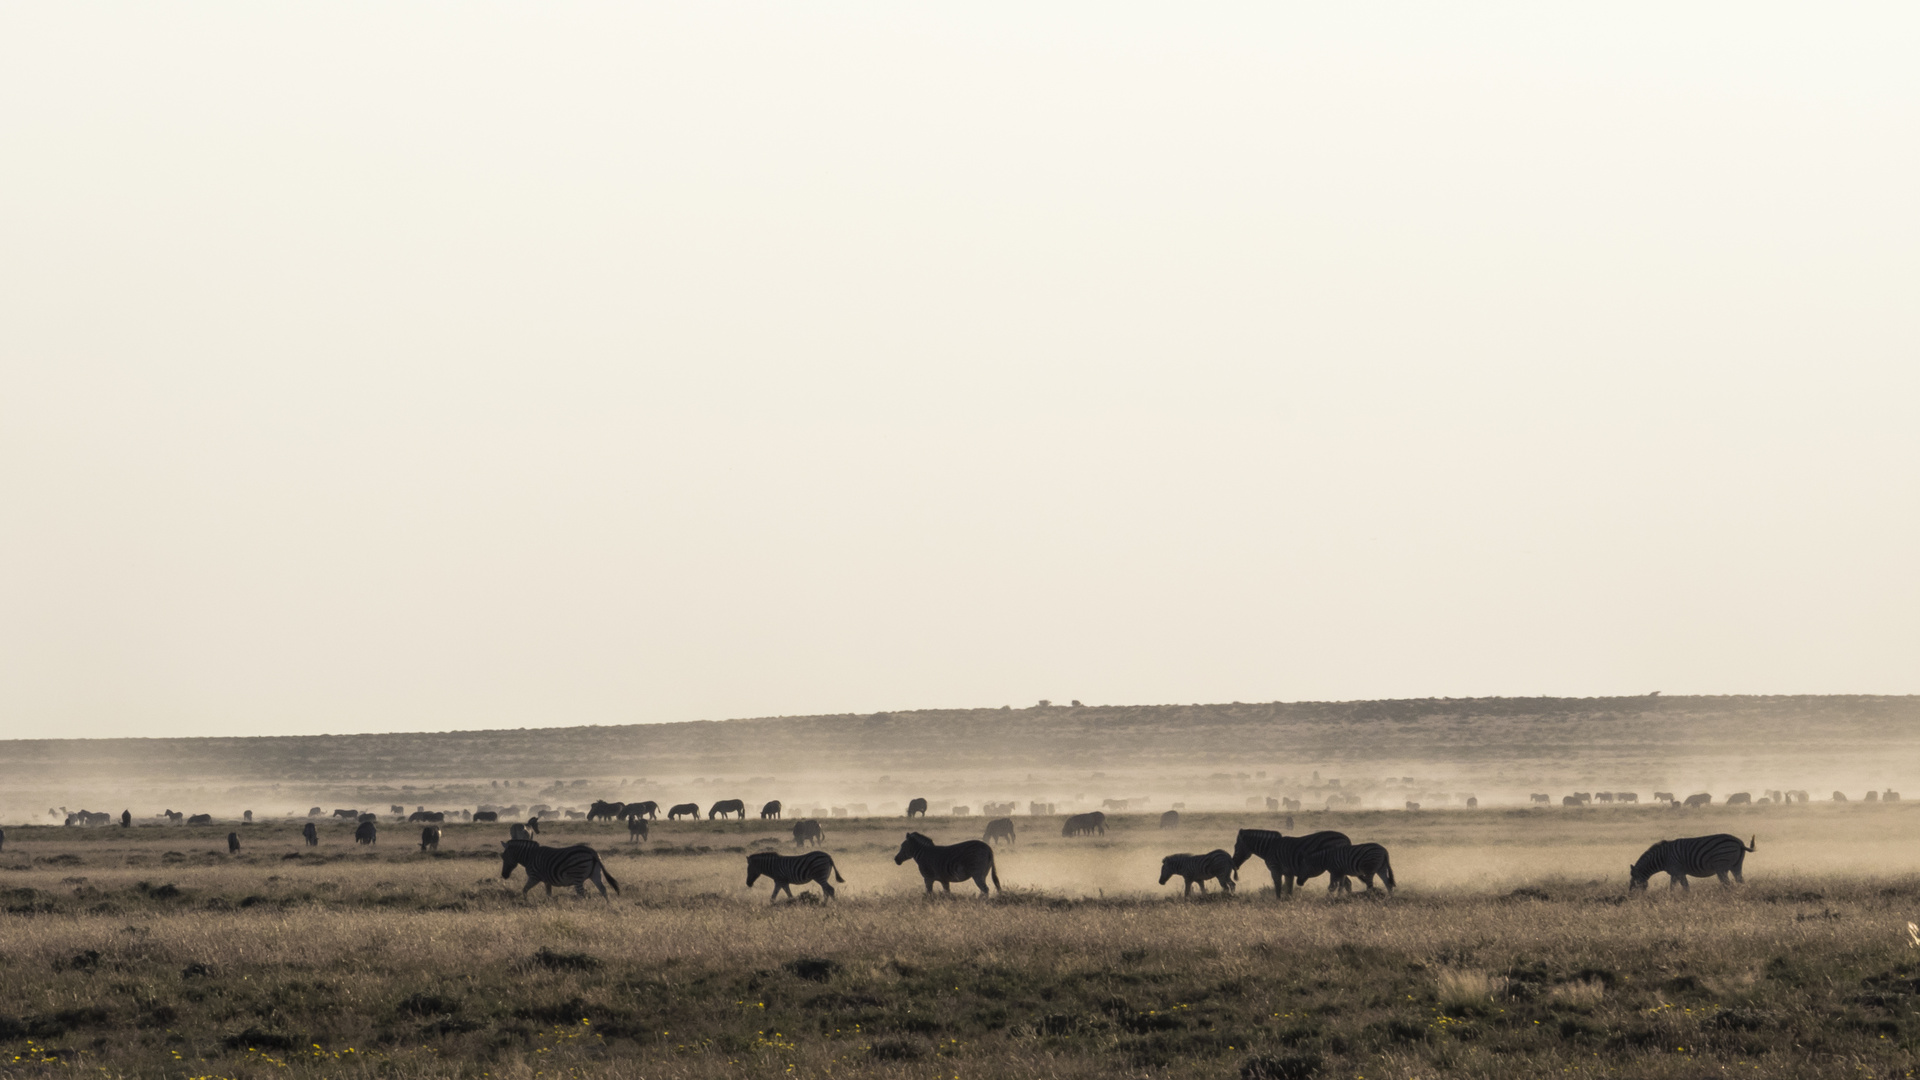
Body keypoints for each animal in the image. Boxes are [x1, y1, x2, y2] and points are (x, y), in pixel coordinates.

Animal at [1620, 826, 1758, 887]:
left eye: (1634, 882)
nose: (1630, 897)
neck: (1662, 858)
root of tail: (1739, 843)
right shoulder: (1675, 873)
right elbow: (1672, 888)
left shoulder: (1678, 871)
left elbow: (1685, 888)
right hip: (1736, 866)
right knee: (1740, 881)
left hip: (1721, 867)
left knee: (1728, 884)